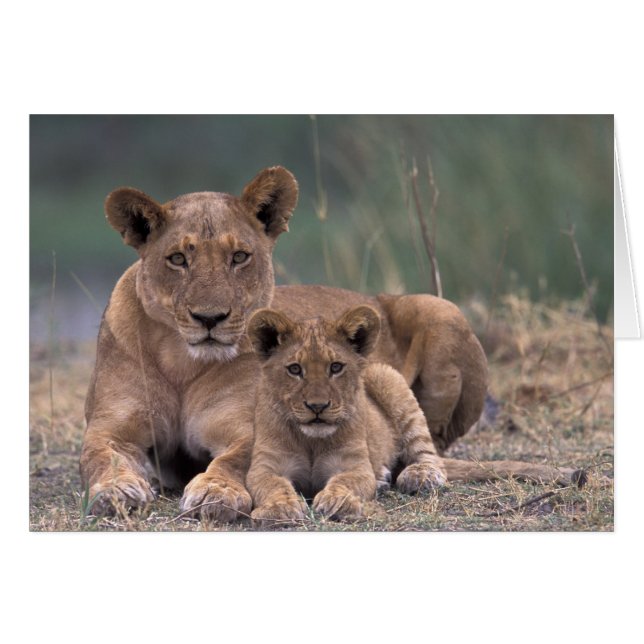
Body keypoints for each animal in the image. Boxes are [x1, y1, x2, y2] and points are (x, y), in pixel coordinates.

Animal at [80, 165, 493, 521]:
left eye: (239, 257)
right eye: (178, 259)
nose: (210, 318)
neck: (181, 361)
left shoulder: (250, 429)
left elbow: (233, 460)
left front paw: (215, 491)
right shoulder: (110, 428)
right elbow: (100, 456)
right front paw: (117, 489)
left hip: (440, 309)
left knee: (428, 444)